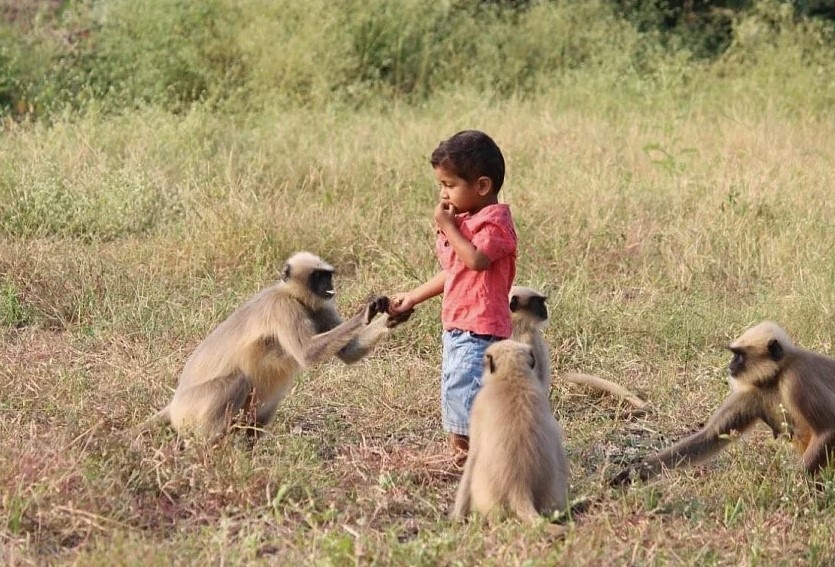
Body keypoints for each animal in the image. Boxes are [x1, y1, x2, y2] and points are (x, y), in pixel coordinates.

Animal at [612, 322, 835, 486]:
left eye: (739, 355)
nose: (730, 364)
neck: (776, 376)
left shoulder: (797, 378)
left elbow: (828, 429)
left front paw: (793, 490)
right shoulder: (750, 393)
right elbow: (709, 436)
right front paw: (633, 473)